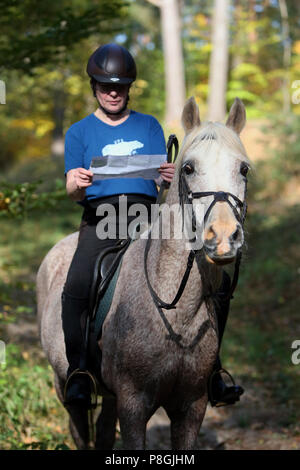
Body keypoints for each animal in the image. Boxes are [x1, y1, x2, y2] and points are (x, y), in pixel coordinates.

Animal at [36, 96, 250, 452]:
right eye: (188, 168)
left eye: (243, 169)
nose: (222, 237)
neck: (176, 313)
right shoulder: (134, 405)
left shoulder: (191, 407)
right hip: (63, 385)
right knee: (79, 427)